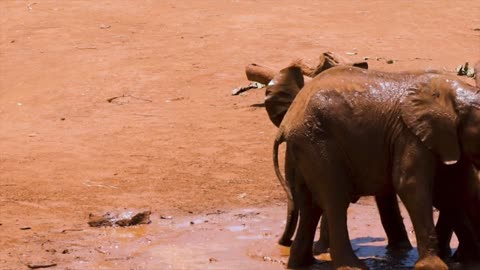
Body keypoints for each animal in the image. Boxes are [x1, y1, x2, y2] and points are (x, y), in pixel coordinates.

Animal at [270, 64, 480, 268]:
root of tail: (286, 122)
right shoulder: (409, 134)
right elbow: (411, 185)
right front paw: (433, 266)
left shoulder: (445, 140)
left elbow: (457, 190)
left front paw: (468, 260)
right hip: (317, 143)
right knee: (334, 200)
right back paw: (352, 266)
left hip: (301, 148)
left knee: (309, 206)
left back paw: (303, 264)